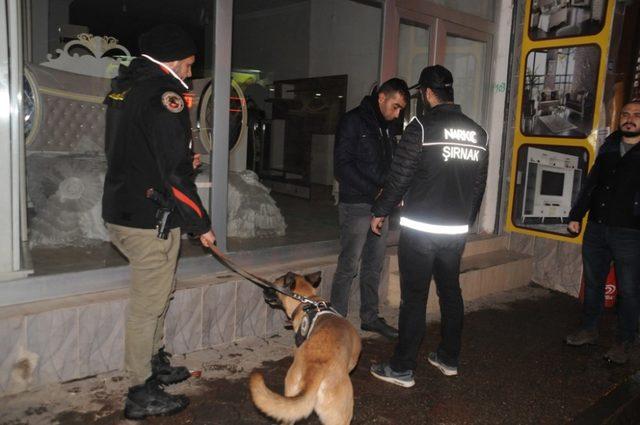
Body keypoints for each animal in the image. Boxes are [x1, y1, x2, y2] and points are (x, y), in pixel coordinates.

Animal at [249, 272, 360, 424]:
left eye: (274, 283)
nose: (264, 289)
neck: (307, 302)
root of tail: (315, 370)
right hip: (341, 417)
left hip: (290, 401)